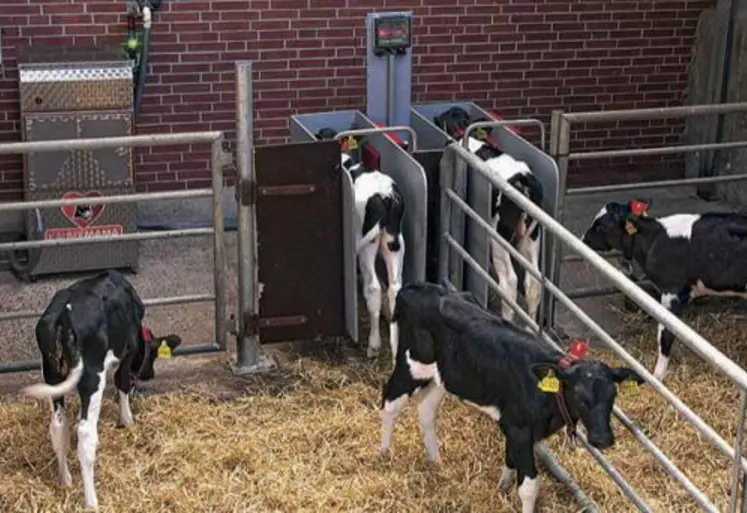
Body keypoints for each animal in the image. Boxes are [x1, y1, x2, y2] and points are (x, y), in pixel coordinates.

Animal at [22, 270, 181, 510]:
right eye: (152, 355)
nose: (149, 374)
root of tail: (62, 315)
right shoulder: (129, 350)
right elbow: (121, 381)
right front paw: (127, 420)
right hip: (91, 376)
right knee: (85, 433)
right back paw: (91, 502)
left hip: (51, 374)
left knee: (58, 426)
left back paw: (65, 480)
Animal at [318, 128, 410, 360]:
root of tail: (385, 195)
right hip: (394, 241)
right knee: (394, 288)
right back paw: (394, 348)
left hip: (368, 244)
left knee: (374, 287)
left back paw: (374, 345)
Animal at [380, 280, 644, 512]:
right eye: (579, 395)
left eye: (613, 394)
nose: (603, 439)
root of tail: (416, 288)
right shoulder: (520, 429)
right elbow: (528, 486)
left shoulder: (516, 426)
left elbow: (509, 459)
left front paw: (502, 487)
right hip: (411, 364)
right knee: (390, 401)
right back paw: (383, 454)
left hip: (442, 377)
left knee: (426, 410)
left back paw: (435, 462)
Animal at [432, 107, 544, 324]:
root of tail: (523, 177)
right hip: (532, 234)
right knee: (533, 281)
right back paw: (529, 328)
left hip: (498, 234)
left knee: (509, 281)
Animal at [580, 198, 747, 378]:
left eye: (601, 226)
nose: (583, 239)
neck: (653, 239)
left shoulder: (672, 292)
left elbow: (665, 334)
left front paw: (657, 377)